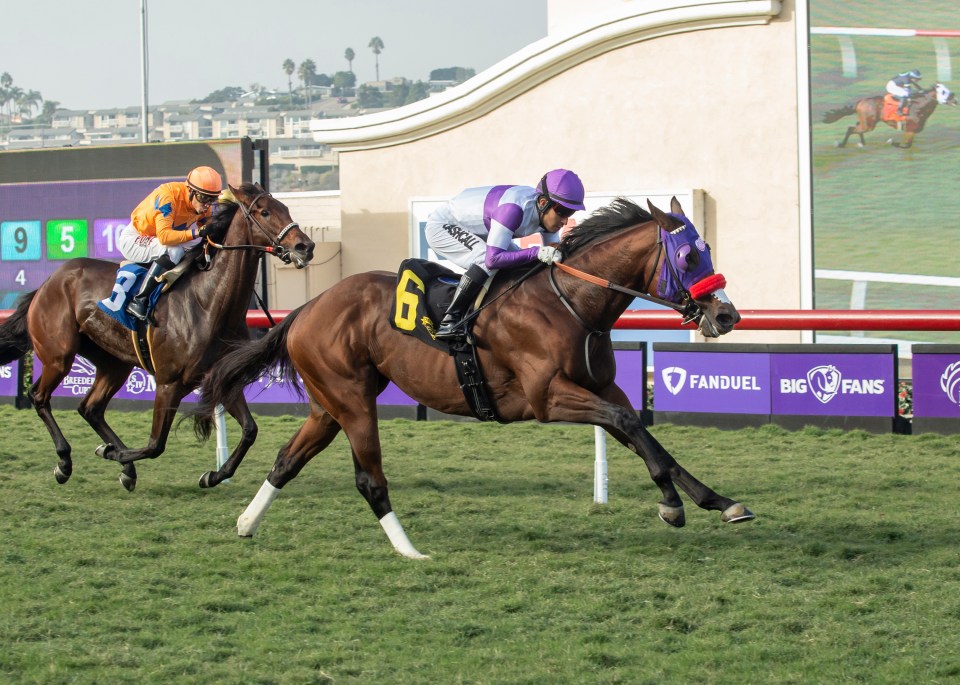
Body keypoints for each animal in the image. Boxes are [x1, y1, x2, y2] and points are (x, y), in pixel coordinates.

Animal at [0, 184, 316, 488]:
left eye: (285, 208)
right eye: (264, 212)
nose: (305, 246)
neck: (208, 302)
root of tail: (46, 284)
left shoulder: (222, 375)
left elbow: (250, 430)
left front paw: (213, 476)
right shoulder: (169, 383)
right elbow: (155, 445)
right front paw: (110, 453)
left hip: (114, 363)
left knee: (90, 408)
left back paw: (122, 465)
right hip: (59, 355)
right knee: (39, 397)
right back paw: (66, 462)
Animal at [193, 194, 752, 556]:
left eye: (704, 250)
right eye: (688, 255)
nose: (726, 315)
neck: (571, 302)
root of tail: (306, 309)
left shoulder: (599, 385)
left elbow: (645, 435)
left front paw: (719, 502)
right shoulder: (548, 398)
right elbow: (630, 424)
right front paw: (673, 505)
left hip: (329, 404)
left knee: (287, 461)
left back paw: (246, 523)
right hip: (351, 400)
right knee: (369, 479)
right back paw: (411, 552)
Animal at [820, 81, 956, 148]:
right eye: (944, 92)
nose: (955, 100)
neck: (919, 106)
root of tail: (860, 102)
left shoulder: (911, 131)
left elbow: (908, 145)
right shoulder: (910, 129)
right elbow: (905, 145)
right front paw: (891, 141)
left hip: (867, 123)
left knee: (856, 127)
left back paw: (862, 143)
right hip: (868, 125)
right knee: (851, 129)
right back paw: (841, 144)